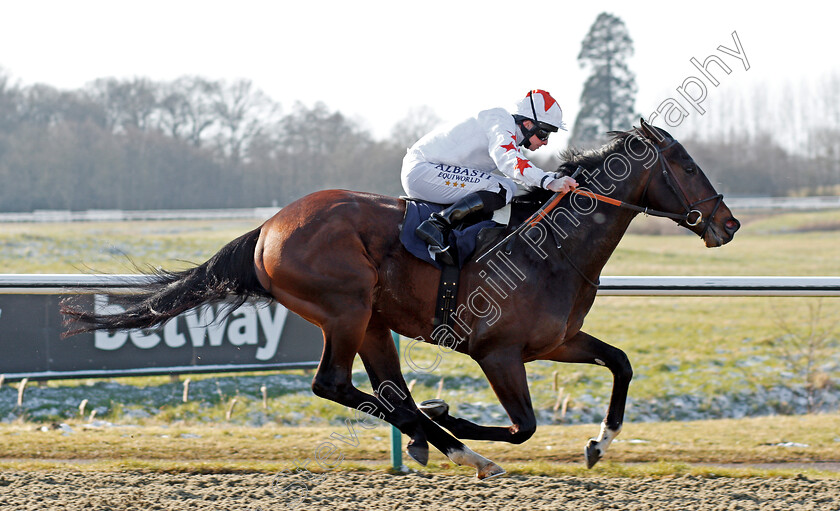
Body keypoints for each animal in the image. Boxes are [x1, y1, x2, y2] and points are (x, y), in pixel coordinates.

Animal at [62, 120, 740, 480]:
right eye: (684, 163)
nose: (728, 224)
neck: (549, 247)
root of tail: (269, 228)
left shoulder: (556, 341)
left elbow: (620, 362)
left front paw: (599, 443)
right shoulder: (498, 353)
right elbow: (522, 427)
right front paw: (456, 426)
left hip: (370, 321)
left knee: (386, 392)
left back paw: (432, 433)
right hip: (346, 308)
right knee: (336, 386)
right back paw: (456, 446)